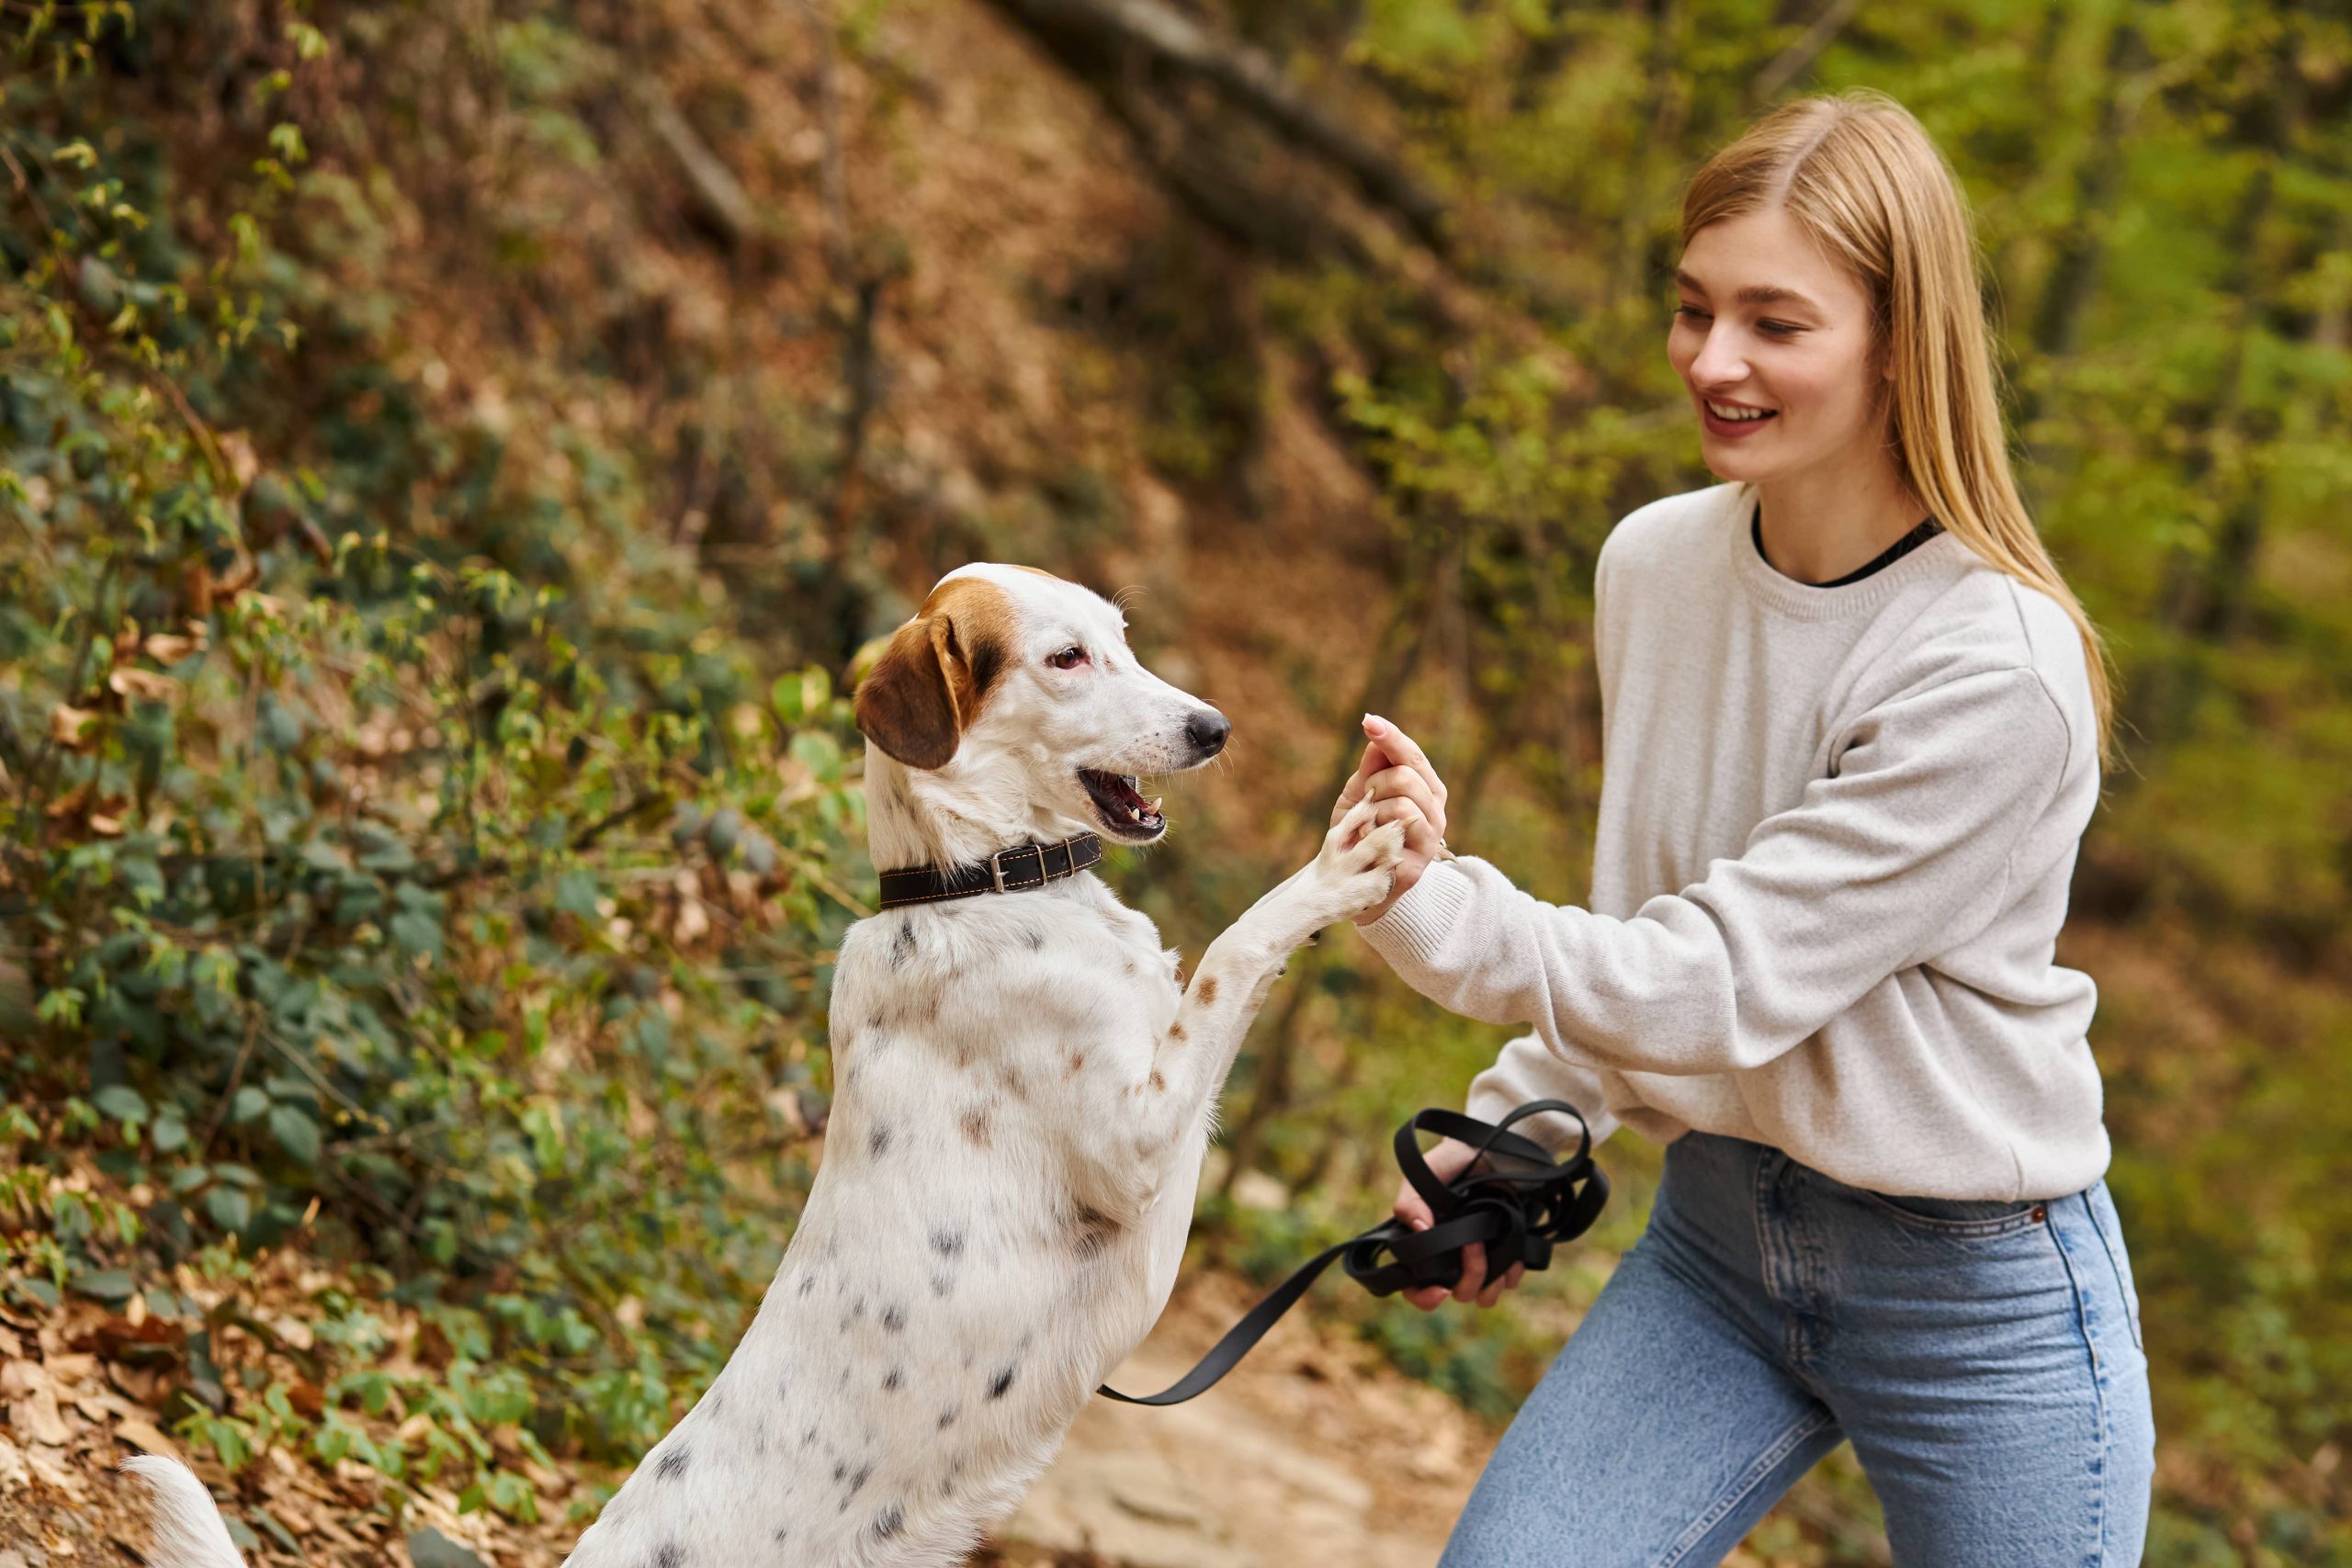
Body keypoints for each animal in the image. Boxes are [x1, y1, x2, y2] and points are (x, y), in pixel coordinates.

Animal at [129, 566, 1401, 1568]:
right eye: (1065, 657)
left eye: (1122, 639)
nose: (1214, 728)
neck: (977, 883)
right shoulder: (1144, 1141)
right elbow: (1240, 946)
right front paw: (1345, 863)